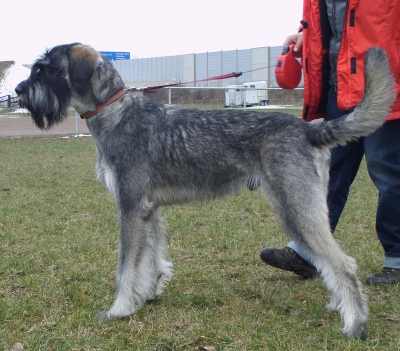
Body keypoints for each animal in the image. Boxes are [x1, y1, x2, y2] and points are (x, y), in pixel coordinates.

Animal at [14, 43, 396, 338]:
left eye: (47, 68)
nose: (18, 91)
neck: (114, 113)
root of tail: (307, 129)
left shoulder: (130, 206)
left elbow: (125, 266)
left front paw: (119, 309)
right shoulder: (148, 209)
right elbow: (150, 257)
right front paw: (148, 294)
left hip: (296, 207)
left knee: (343, 264)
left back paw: (356, 326)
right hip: (305, 207)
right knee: (335, 261)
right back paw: (340, 306)